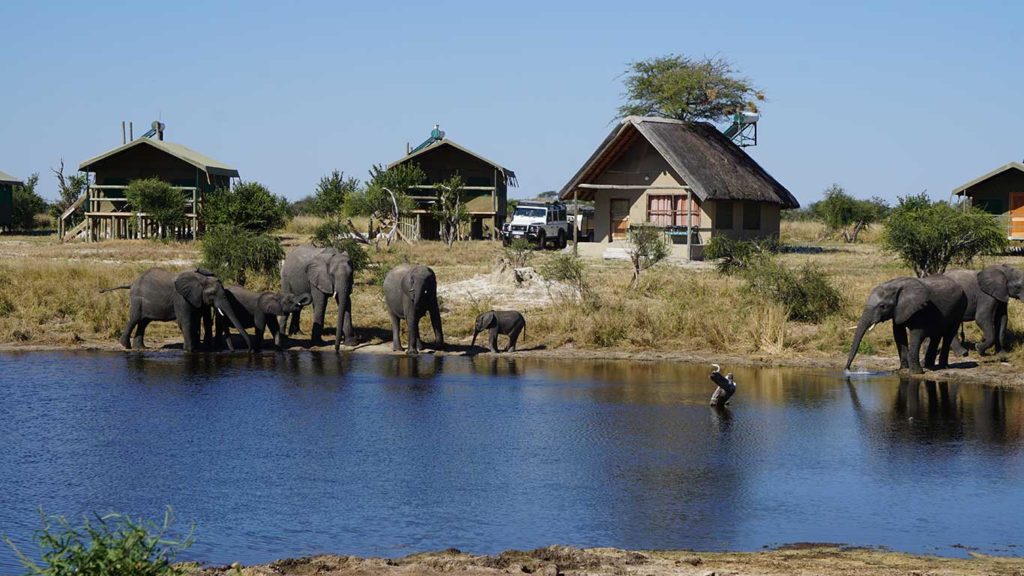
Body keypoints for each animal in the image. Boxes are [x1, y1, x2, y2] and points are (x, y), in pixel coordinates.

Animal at [102, 268, 251, 350]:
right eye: (212, 294)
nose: (233, 351)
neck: (200, 278)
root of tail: (132, 283)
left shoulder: (197, 298)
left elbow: (201, 320)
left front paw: (200, 348)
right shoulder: (181, 298)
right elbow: (186, 321)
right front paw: (189, 350)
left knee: (144, 322)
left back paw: (141, 348)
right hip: (137, 300)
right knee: (134, 319)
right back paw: (125, 346)